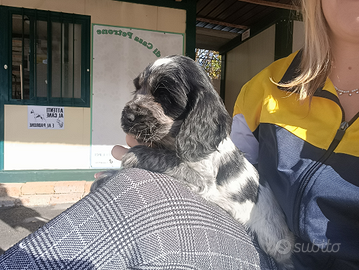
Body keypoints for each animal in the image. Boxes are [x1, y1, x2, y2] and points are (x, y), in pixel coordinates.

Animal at [107, 55, 296, 268]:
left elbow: (168, 160)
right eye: (137, 89)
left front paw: (134, 154)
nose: (128, 116)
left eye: (164, 97)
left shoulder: (203, 181)